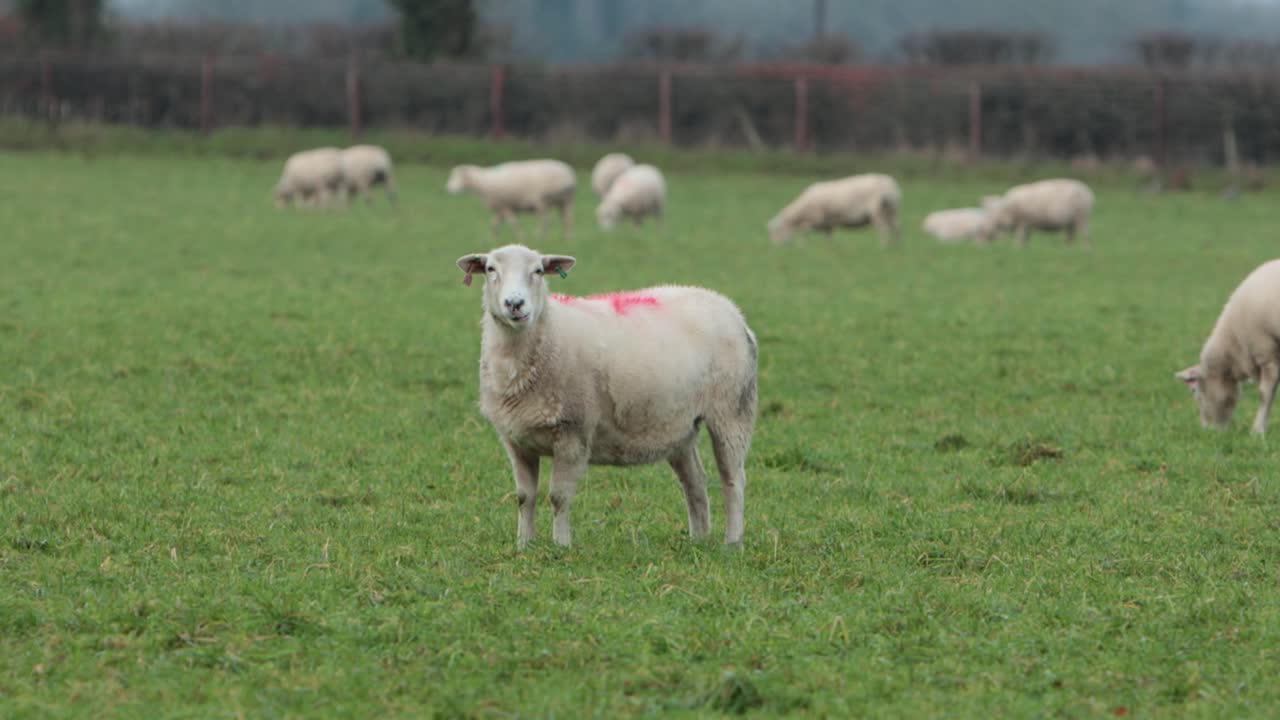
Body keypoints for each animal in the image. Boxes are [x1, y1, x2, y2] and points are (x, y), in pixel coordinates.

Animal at [446, 160, 576, 240]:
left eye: (457, 177)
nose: (448, 189)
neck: (483, 182)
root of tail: (569, 177)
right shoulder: (501, 207)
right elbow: (494, 224)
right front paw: (491, 238)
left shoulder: (505, 205)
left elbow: (513, 223)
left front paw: (521, 237)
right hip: (566, 201)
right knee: (567, 219)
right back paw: (568, 238)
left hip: (544, 201)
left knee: (546, 220)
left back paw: (538, 236)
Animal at [456, 244, 758, 548]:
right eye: (491, 269)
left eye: (538, 271)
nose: (515, 304)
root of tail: (732, 311)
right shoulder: (516, 440)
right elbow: (524, 497)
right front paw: (524, 545)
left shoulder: (573, 433)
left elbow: (558, 497)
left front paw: (561, 546)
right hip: (679, 426)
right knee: (695, 481)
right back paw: (699, 539)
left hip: (731, 411)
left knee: (733, 480)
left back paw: (732, 542)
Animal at [767, 173, 902, 246]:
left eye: (777, 231)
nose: (776, 248)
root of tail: (891, 186)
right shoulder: (828, 223)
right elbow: (829, 237)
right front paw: (829, 248)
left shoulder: (814, 219)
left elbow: (804, 232)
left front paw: (801, 246)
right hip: (892, 210)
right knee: (897, 228)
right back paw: (897, 247)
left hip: (879, 211)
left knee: (884, 230)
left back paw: (883, 246)